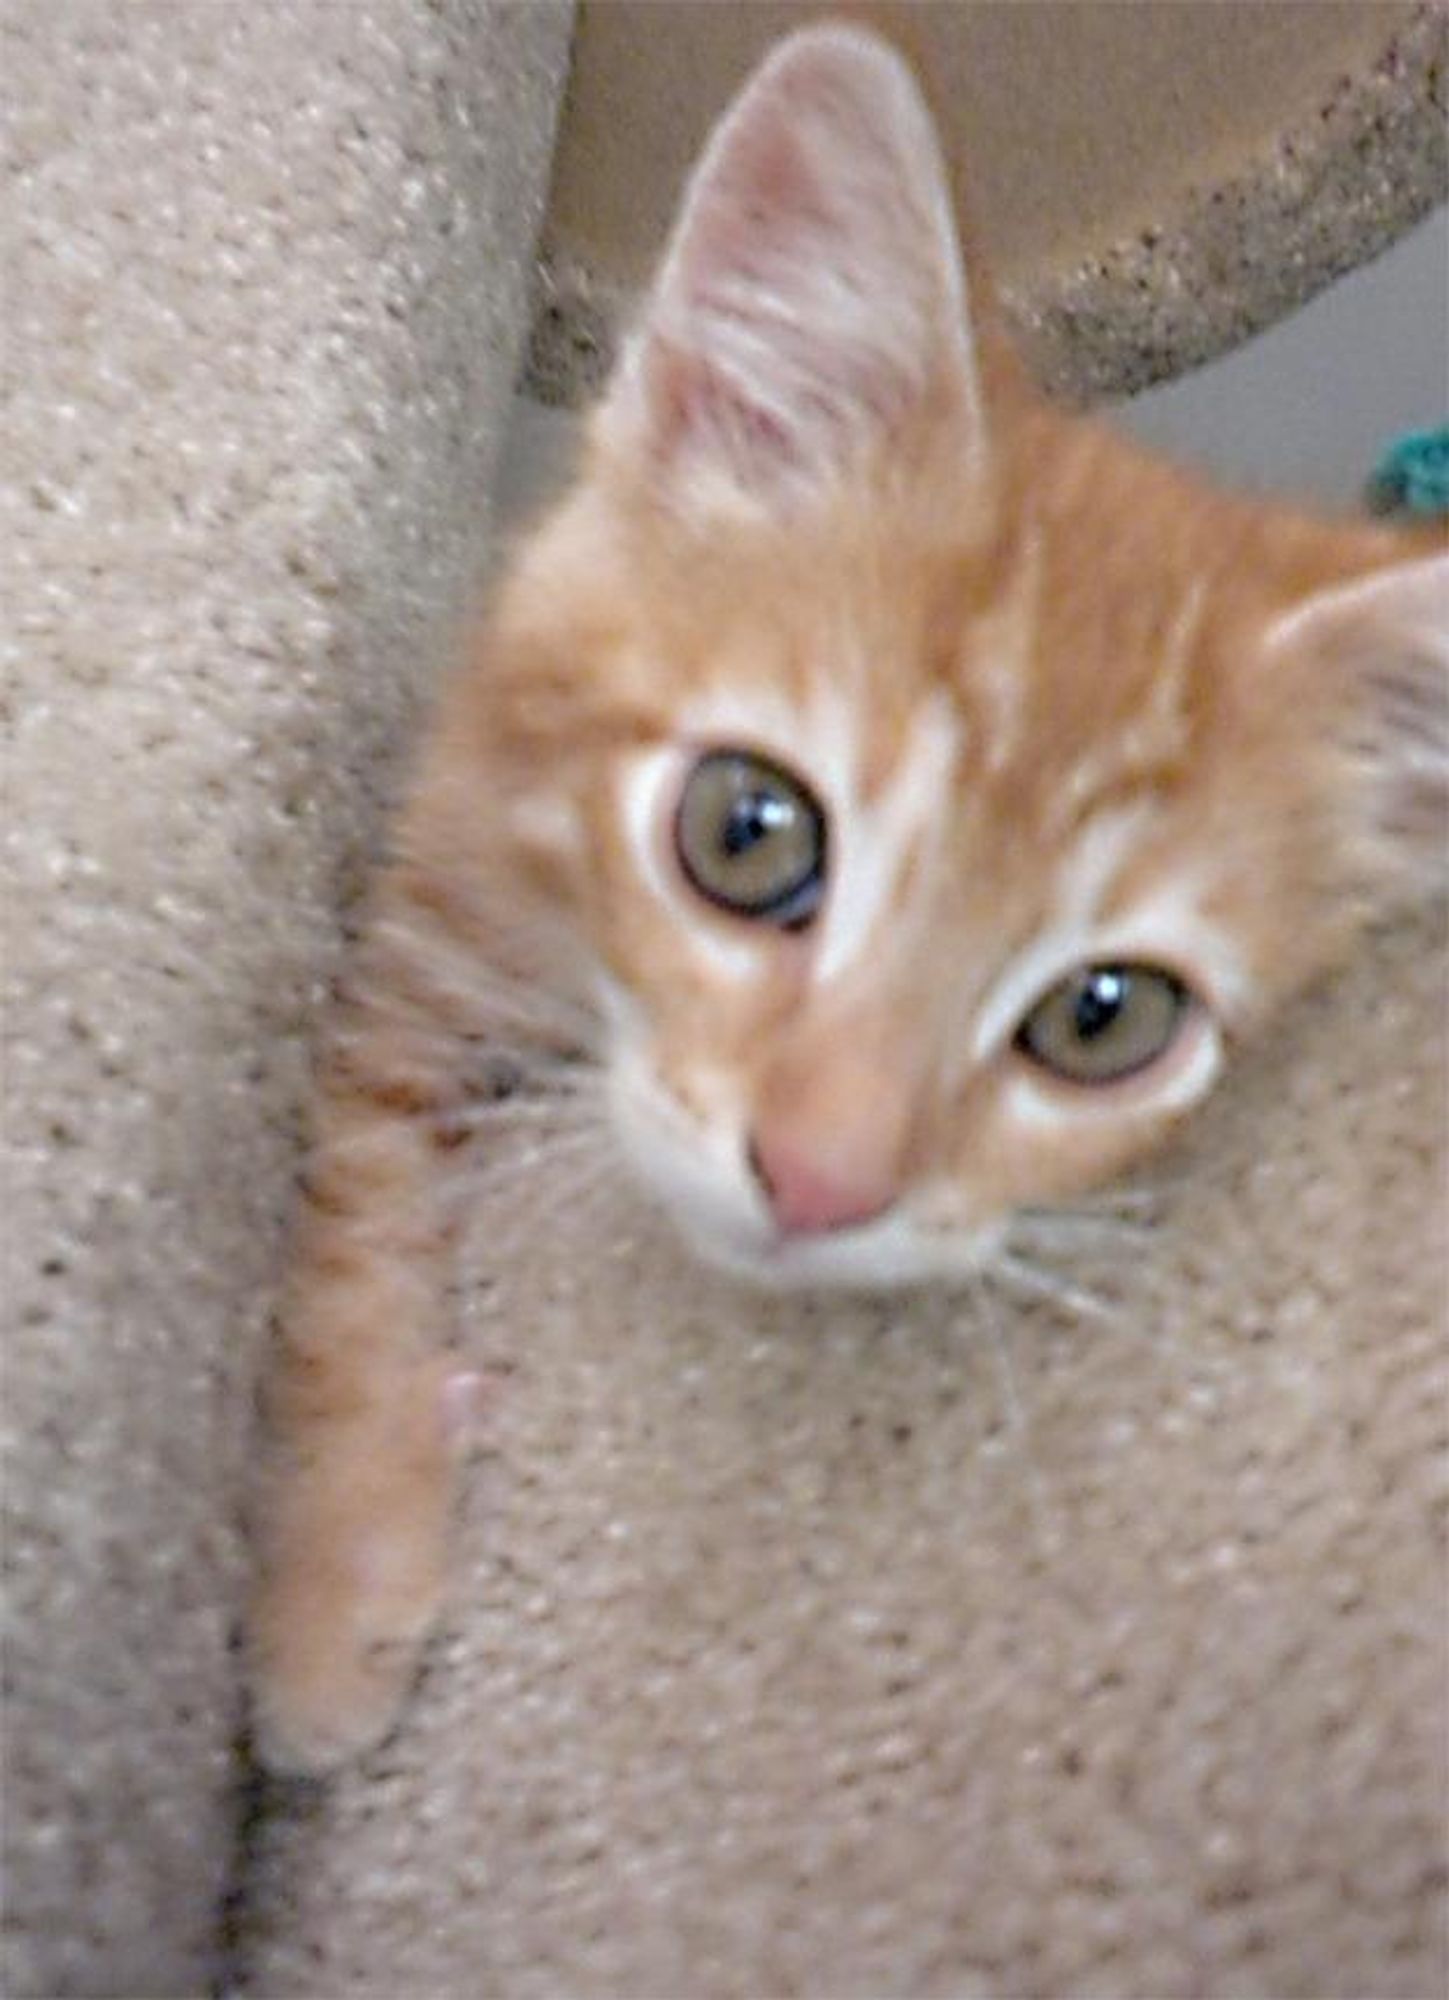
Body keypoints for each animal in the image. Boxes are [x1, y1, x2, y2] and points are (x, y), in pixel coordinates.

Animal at [252, 27, 1449, 1768]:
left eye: (1103, 1018)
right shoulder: (423, 898)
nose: (819, 1186)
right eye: (746, 834)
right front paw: (332, 1577)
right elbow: (343, 1184)